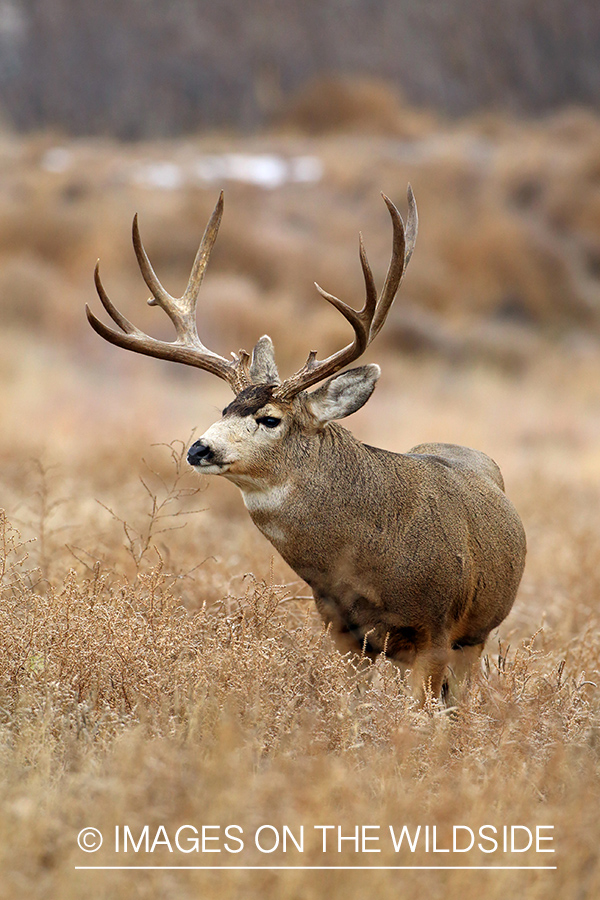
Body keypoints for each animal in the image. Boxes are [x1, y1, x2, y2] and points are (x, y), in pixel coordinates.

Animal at [86, 190, 528, 704]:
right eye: (224, 409)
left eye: (269, 419)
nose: (199, 449)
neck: (370, 555)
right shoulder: (341, 627)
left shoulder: (436, 628)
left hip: (476, 637)